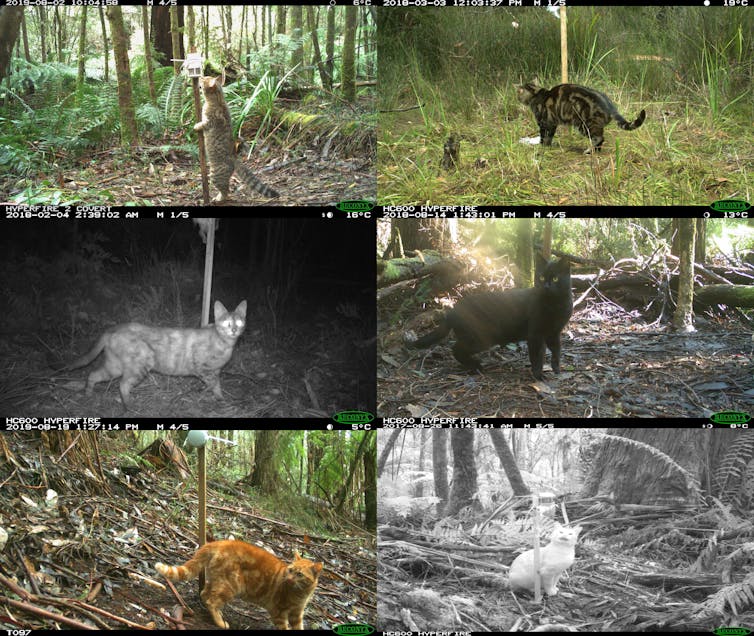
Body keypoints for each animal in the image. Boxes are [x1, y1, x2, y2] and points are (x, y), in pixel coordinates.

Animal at [53, 300, 247, 408]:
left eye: (238, 322)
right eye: (227, 323)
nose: (234, 330)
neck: (225, 344)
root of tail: (114, 328)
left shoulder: (215, 371)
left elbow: (215, 384)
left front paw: (214, 395)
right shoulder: (204, 368)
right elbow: (214, 384)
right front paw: (218, 398)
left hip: (114, 366)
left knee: (93, 375)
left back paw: (88, 394)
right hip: (139, 366)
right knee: (122, 384)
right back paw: (129, 406)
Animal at [156, 540, 324, 628]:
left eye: (299, 574)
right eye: (290, 570)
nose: (288, 578)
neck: (300, 594)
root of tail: (220, 542)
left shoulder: (297, 614)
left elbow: (299, 627)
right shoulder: (279, 612)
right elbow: (284, 627)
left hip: (217, 581)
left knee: (204, 594)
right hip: (230, 586)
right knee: (211, 600)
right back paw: (220, 623)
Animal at [408, 256, 572, 380]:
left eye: (555, 278)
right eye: (542, 277)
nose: (546, 286)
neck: (555, 305)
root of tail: (453, 310)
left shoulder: (554, 333)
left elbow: (556, 351)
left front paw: (556, 369)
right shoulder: (535, 334)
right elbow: (537, 357)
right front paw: (538, 376)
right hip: (481, 339)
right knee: (456, 349)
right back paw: (476, 366)